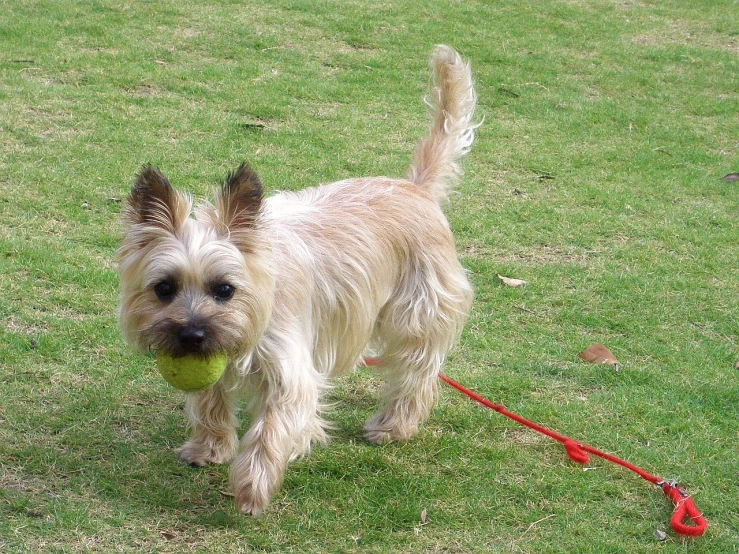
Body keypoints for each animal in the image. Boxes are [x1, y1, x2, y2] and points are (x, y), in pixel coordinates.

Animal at [118, 44, 476, 512]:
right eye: (164, 288)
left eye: (225, 289)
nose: (192, 335)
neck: (262, 292)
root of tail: (415, 188)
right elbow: (211, 399)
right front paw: (209, 448)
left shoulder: (290, 370)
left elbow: (272, 429)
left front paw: (252, 487)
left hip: (418, 313)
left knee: (416, 375)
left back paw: (394, 425)